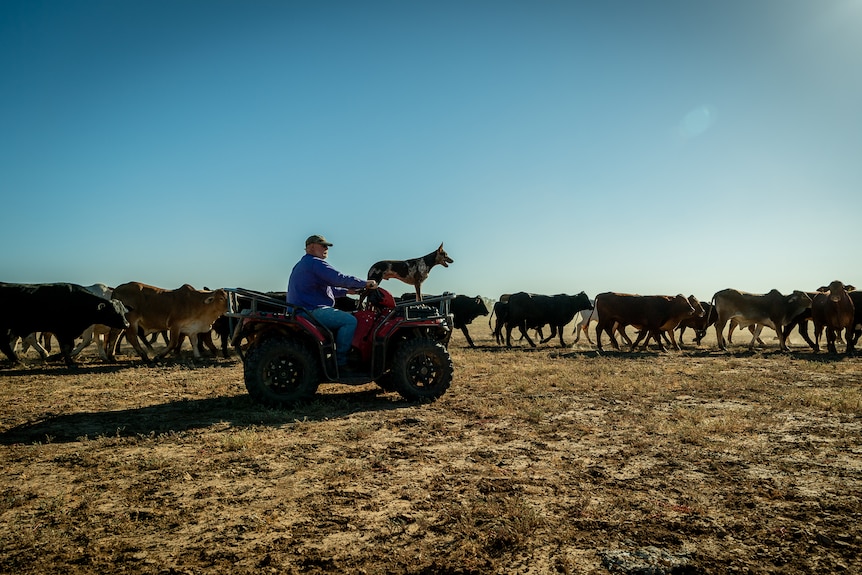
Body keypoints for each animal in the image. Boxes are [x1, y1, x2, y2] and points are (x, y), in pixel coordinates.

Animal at [0, 284, 130, 368]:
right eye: (113, 312)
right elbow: (81, 342)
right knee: (23, 339)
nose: (126, 324)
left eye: (123, 311)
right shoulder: (79, 329)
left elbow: (96, 341)